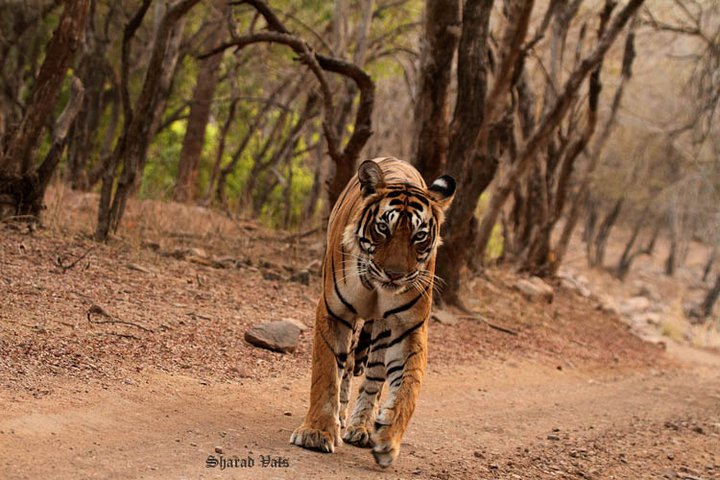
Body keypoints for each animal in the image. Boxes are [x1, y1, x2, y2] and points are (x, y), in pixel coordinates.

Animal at [288, 159, 452, 466]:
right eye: (383, 228)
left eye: (419, 236)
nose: (395, 274)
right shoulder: (334, 312)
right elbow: (327, 373)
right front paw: (317, 432)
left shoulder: (408, 329)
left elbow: (408, 387)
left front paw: (388, 436)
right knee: (347, 366)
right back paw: (341, 418)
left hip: (383, 332)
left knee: (374, 377)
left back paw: (362, 427)